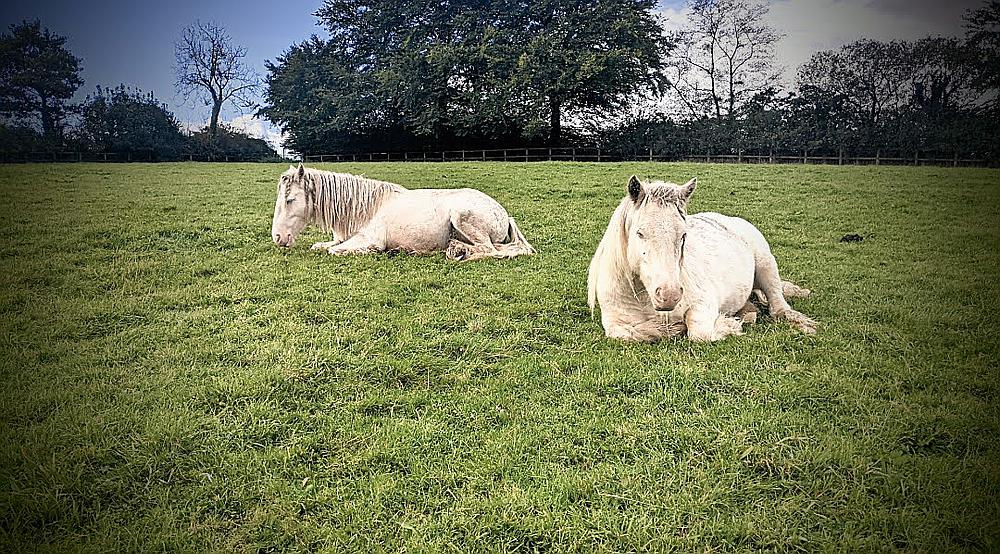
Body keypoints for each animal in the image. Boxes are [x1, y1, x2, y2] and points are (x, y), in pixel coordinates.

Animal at [270, 163, 536, 260]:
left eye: (290, 200)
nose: (278, 238)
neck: (366, 209)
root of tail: (504, 214)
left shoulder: (369, 240)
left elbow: (334, 251)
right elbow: (321, 246)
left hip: (463, 218)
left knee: (491, 250)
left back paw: (459, 252)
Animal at [588, 176, 816, 340]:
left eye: (683, 234)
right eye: (640, 233)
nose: (669, 295)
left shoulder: (703, 303)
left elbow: (699, 333)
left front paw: (727, 325)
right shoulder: (614, 323)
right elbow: (626, 333)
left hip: (766, 265)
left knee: (778, 306)